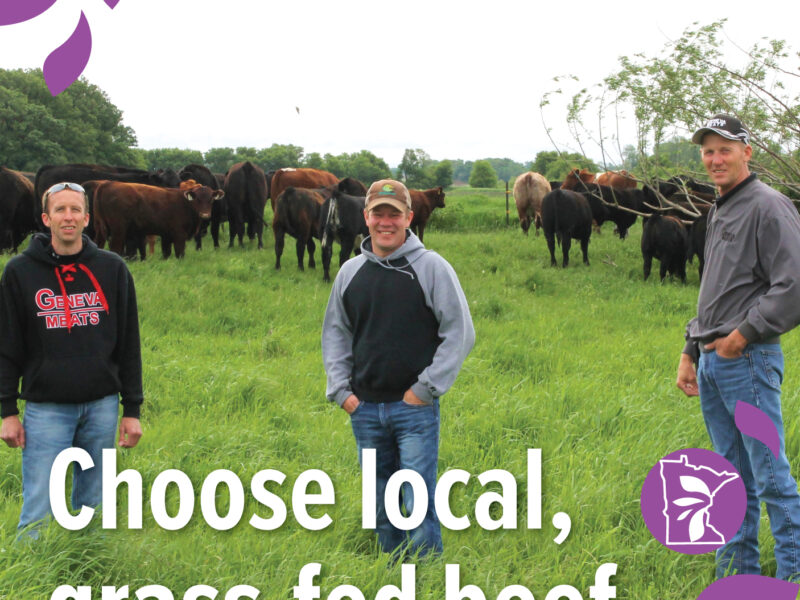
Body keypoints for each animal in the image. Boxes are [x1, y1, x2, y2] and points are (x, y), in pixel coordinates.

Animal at [94, 182, 225, 258]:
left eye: (211, 199)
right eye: (197, 199)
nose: (205, 215)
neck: (186, 204)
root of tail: (108, 183)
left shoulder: (166, 235)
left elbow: (166, 253)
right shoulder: (179, 235)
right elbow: (179, 253)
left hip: (102, 229)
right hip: (118, 230)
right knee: (115, 247)